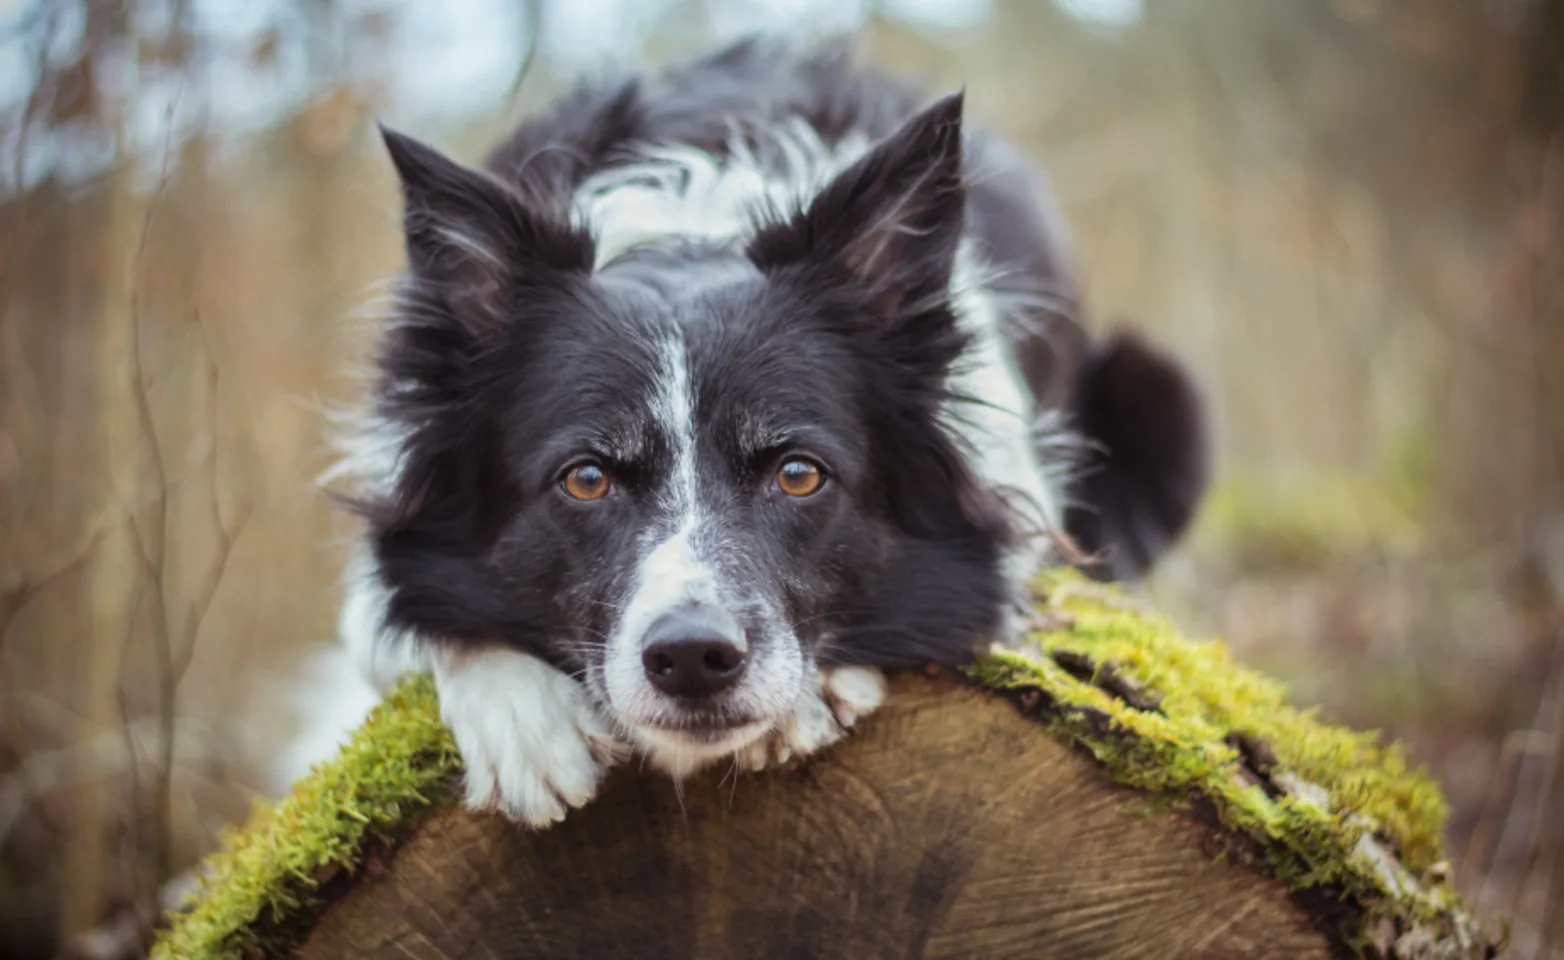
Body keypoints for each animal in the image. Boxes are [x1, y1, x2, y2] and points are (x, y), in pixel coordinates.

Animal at [298, 35, 1213, 825]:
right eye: (586, 478)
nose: (692, 659)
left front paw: (807, 697)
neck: (686, 235)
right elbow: (406, 610)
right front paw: (521, 720)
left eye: (799, 473)